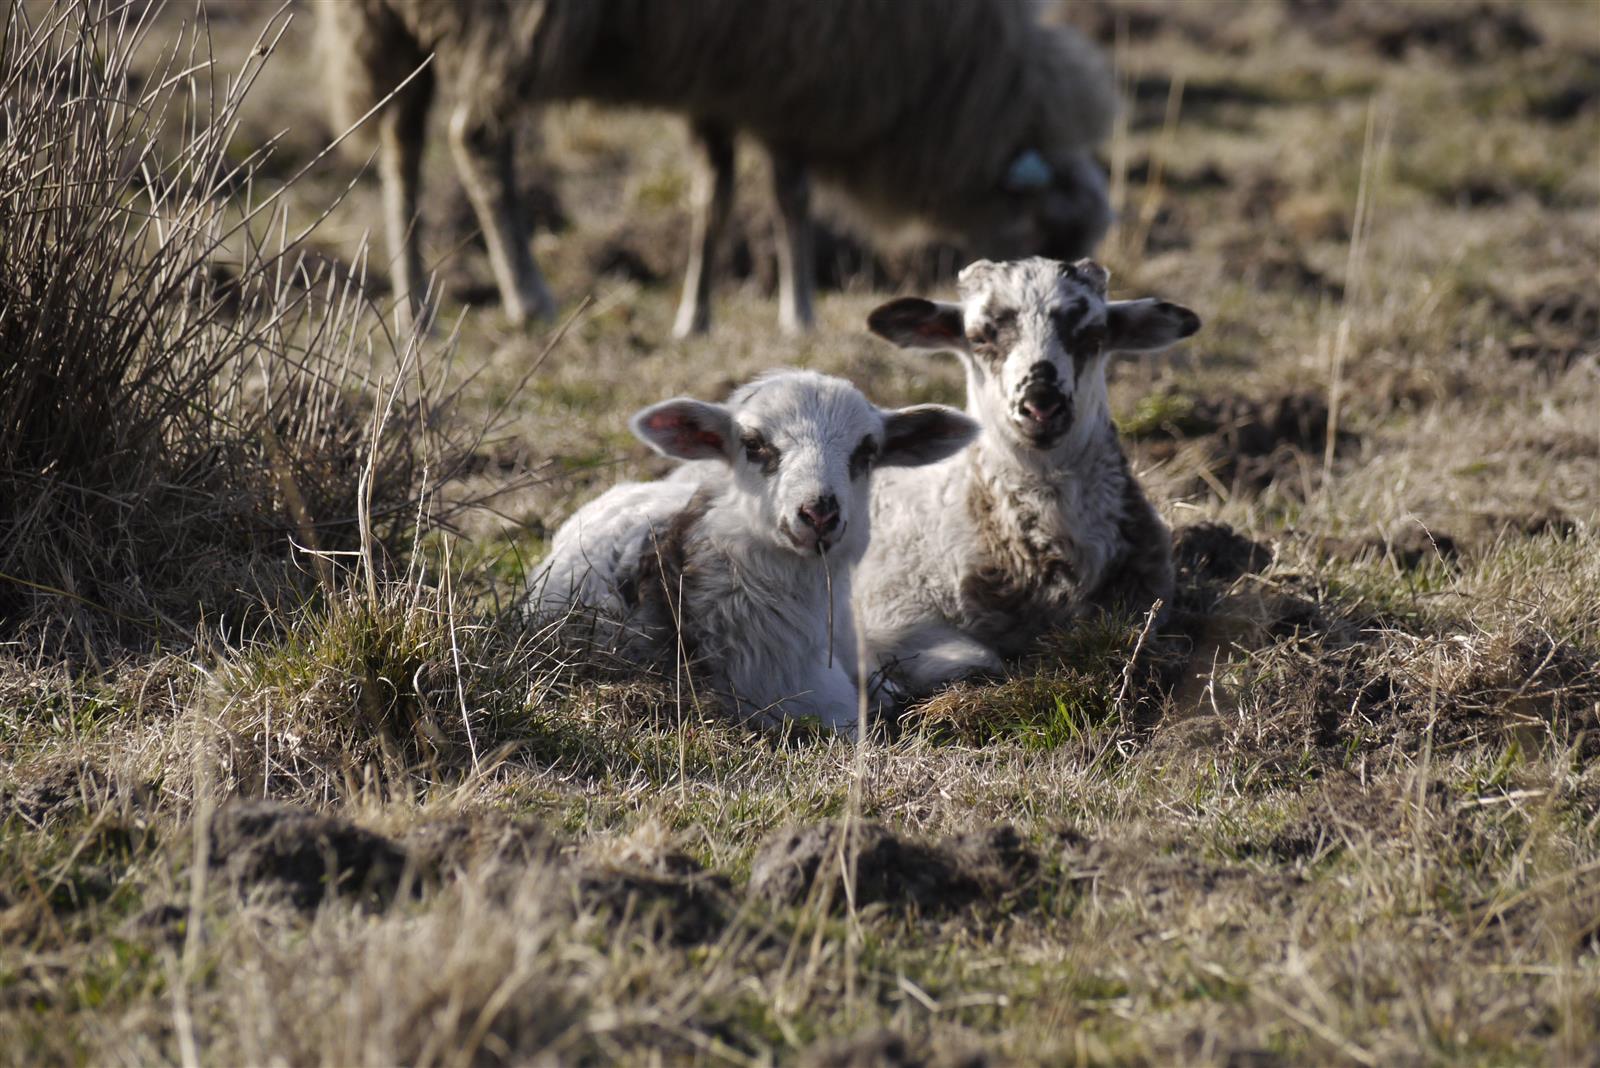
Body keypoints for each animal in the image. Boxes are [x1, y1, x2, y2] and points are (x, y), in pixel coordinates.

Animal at [318, 0, 1120, 334]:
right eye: (1045, 232)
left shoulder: (727, 73)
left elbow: (716, 189)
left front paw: (694, 315)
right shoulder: (796, 77)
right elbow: (789, 193)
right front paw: (799, 312)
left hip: (386, 24)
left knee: (401, 143)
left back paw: (415, 306)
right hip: (507, 26)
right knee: (478, 143)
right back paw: (528, 297)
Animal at [857, 255, 1196, 693]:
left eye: (1095, 334)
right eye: (979, 337)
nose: (1041, 404)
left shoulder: (1146, 606)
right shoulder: (890, 613)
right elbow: (979, 661)